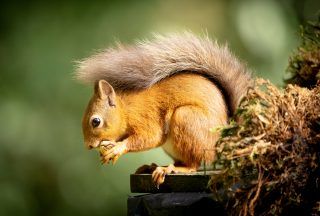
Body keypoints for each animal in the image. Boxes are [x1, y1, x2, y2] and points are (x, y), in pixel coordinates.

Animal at [75, 32, 252, 186]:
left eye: (95, 121)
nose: (88, 146)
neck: (126, 110)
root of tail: (223, 138)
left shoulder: (146, 117)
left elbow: (150, 137)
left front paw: (118, 148)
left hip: (186, 118)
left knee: (193, 164)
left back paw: (173, 169)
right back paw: (154, 167)